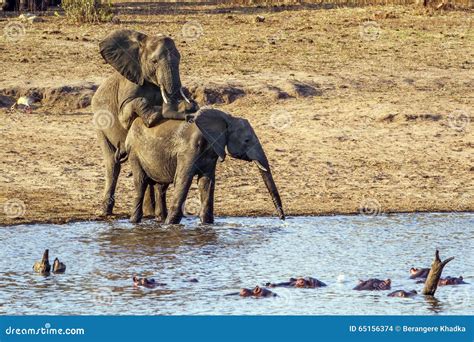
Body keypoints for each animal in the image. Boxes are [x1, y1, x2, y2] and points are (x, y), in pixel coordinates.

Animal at [91, 30, 197, 216]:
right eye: (154, 61)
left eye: (179, 59)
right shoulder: (129, 85)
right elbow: (125, 116)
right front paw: (153, 117)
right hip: (99, 124)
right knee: (112, 164)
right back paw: (106, 211)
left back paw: (150, 213)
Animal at [123, 108, 286, 223]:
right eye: (246, 140)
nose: (283, 219)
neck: (226, 118)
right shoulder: (188, 150)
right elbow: (183, 180)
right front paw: (171, 225)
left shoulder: (212, 151)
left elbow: (206, 182)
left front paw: (206, 224)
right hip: (134, 152)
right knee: (141, 183)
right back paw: (135, 221)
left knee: (161, 186)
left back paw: (160, 219)